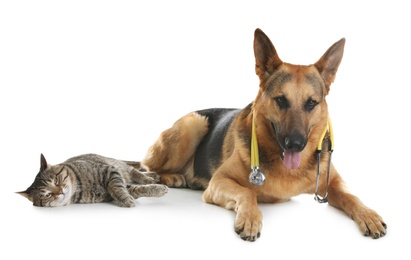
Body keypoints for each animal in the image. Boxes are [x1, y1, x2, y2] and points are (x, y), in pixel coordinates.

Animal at [17, 154, 169, 207]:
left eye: (56, 181)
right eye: (47, 195)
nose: (60, 191)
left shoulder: (110, 171)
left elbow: (117, 187)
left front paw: (158, 188)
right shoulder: (112, 191)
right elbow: (132, 190)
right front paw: (127, 198)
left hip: (118, 165)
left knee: (135, 172)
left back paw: (150, 177)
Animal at [142, 28, 386, 242]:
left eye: (311, 103)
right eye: (281, 100)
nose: (295, 144)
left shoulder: (333, 182)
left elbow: (351, 196)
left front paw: (368, 215)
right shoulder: (218, 182)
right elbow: (247, 193)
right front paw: (250, 218)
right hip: (193, 125)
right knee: (148, 166)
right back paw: (171, 177)